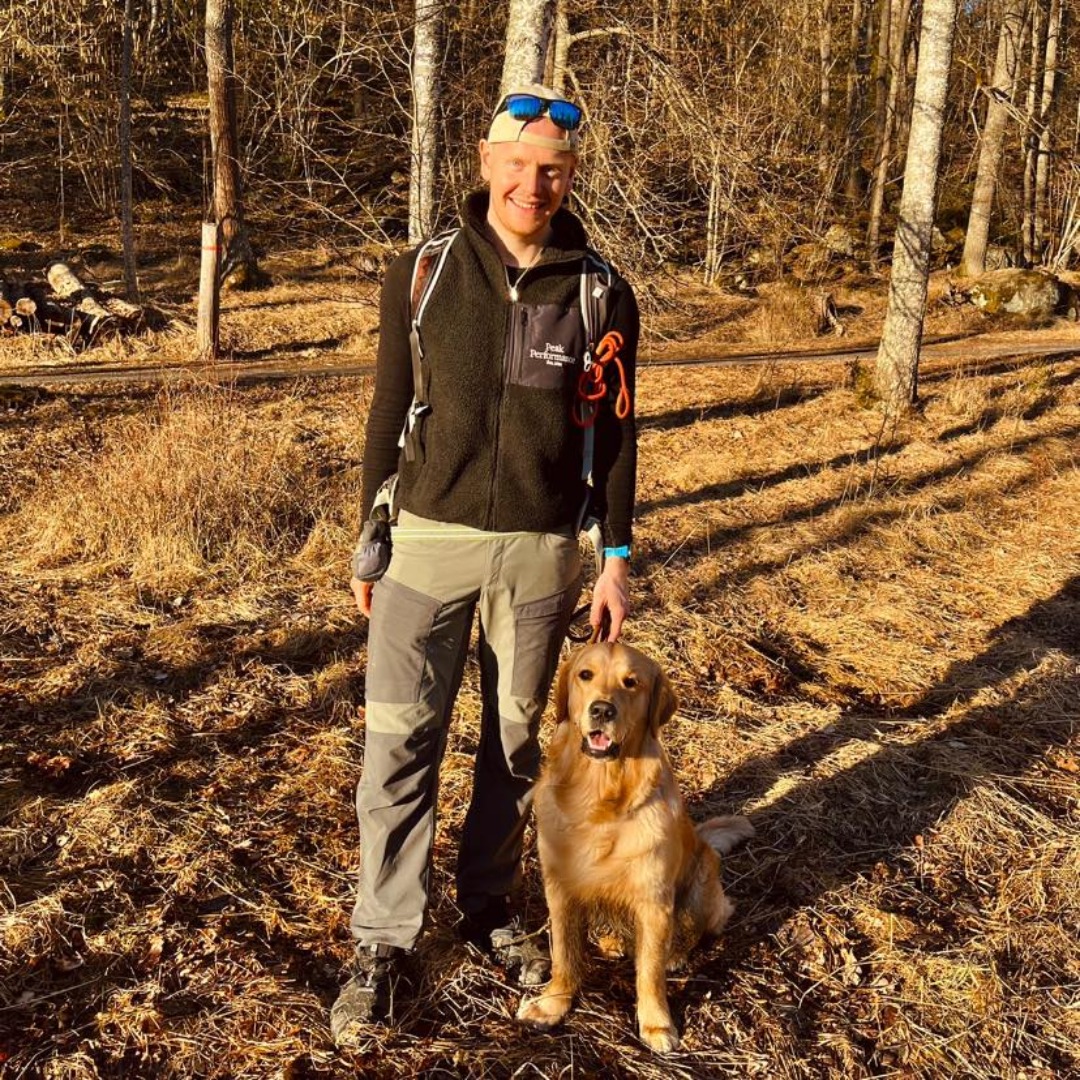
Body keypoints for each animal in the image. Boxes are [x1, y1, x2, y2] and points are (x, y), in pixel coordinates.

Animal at [518, 642, 753, 1053]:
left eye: (632, 683)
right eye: (585, 675)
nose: (602, 710)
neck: (600, 796)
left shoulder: (654, 902)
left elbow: (650, 973)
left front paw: (656, 1025)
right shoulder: (560, 890)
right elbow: (564, 954)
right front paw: (552, 1004)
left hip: (701, 880)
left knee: (697, 928)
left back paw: (676, 954)